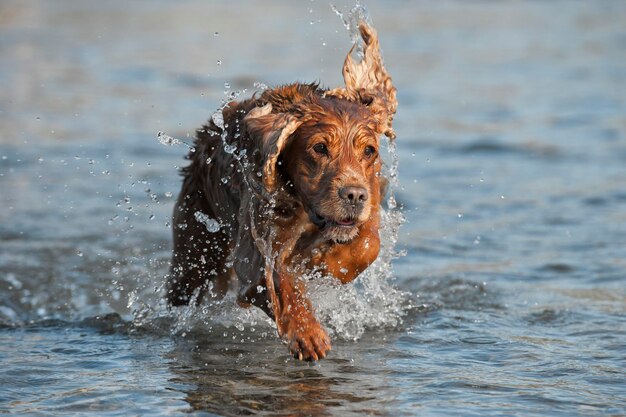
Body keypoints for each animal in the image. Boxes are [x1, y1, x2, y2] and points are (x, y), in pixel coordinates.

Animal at [167, 21, 394, 360]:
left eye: (369, 150)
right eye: (319, 147)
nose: (353, 195)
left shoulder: (371, 200)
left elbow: (368, 244)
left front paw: (329, 265)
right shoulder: (255, 244)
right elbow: (281, 278)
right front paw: (307, 332)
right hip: (196, 242)